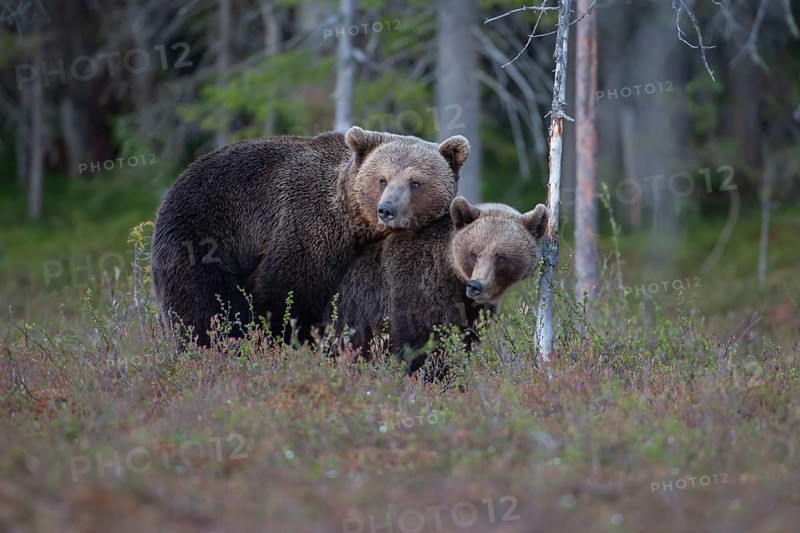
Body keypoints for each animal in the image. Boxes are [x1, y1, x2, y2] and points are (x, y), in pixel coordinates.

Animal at [151, 127, 469, 346]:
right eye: (382, 179)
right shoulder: (305, 224)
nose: (387, 210)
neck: (352, 219)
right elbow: (288, 293)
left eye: (415, 182)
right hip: (203, 235)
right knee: (204, 306)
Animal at [330, 196, 548, 374]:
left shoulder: (471, 311)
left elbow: (464, 341)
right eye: (473, 253)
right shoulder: (416, 287)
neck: (453, 278)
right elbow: (419, 343)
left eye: (500, 257)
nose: (476, 286)